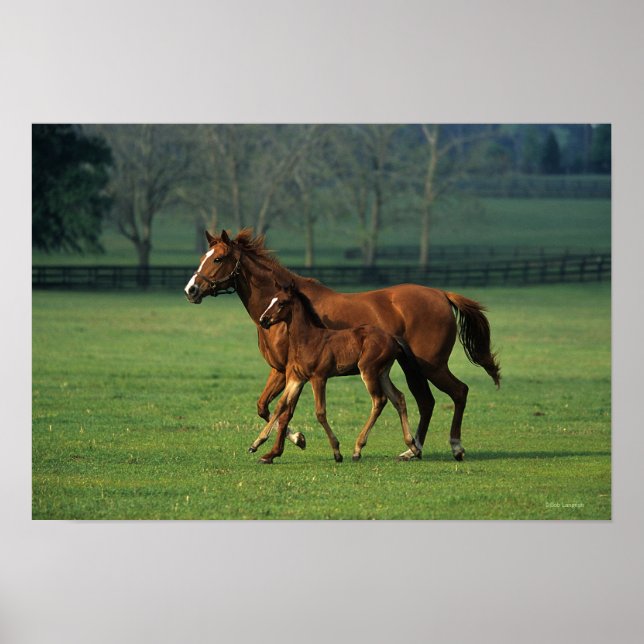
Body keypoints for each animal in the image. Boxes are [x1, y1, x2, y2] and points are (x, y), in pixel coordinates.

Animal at [252, 281, 421, 463]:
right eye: (271, 300)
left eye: (282, 303)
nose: (263, 320)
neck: (307, 339)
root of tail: (392, 338)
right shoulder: (296, 378)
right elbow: (280, 406)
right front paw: (257, 444)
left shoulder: (318, 378)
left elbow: (320, 412)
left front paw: (337, 451)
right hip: (382, 373)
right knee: (398, 398)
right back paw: (413, 447)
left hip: (368, 371)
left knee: (379, 400)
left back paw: (357, 449)